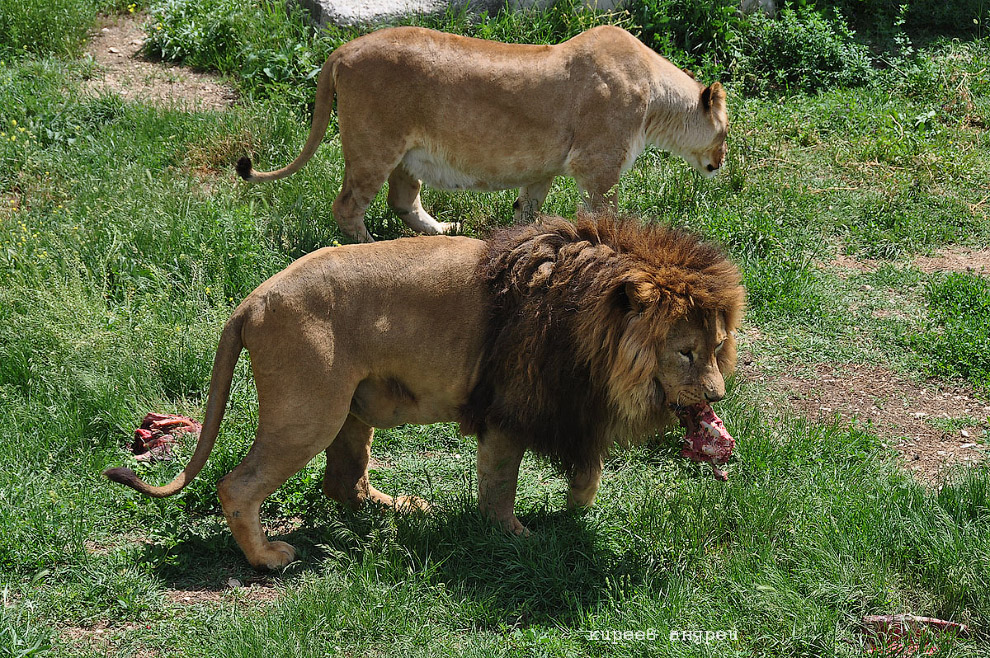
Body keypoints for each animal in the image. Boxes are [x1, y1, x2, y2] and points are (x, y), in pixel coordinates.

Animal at [108, 215, 744, 568]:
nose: (715, 397)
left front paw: (576, 515)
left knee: (344, 483)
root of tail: (253, 299)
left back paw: (402, 508)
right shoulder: (508, 408)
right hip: (309, 411)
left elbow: (586, 474)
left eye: (717, 347)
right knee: (237, 485)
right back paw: (268, 557)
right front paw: (515, 537)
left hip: (351, 407)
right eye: (686, 352)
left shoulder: (576, 407)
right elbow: (499, 483)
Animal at [234, 26, 728, 241]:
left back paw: (442, 232)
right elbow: (604, 213)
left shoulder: (543, 169)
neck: (657, 98)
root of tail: (342, 50)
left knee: (402, 200)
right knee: (348, 206)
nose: (720, 164)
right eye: (724, 134)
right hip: (374, 148)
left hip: (406, 154)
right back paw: (368, 247)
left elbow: (527, 210)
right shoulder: (598, 165)